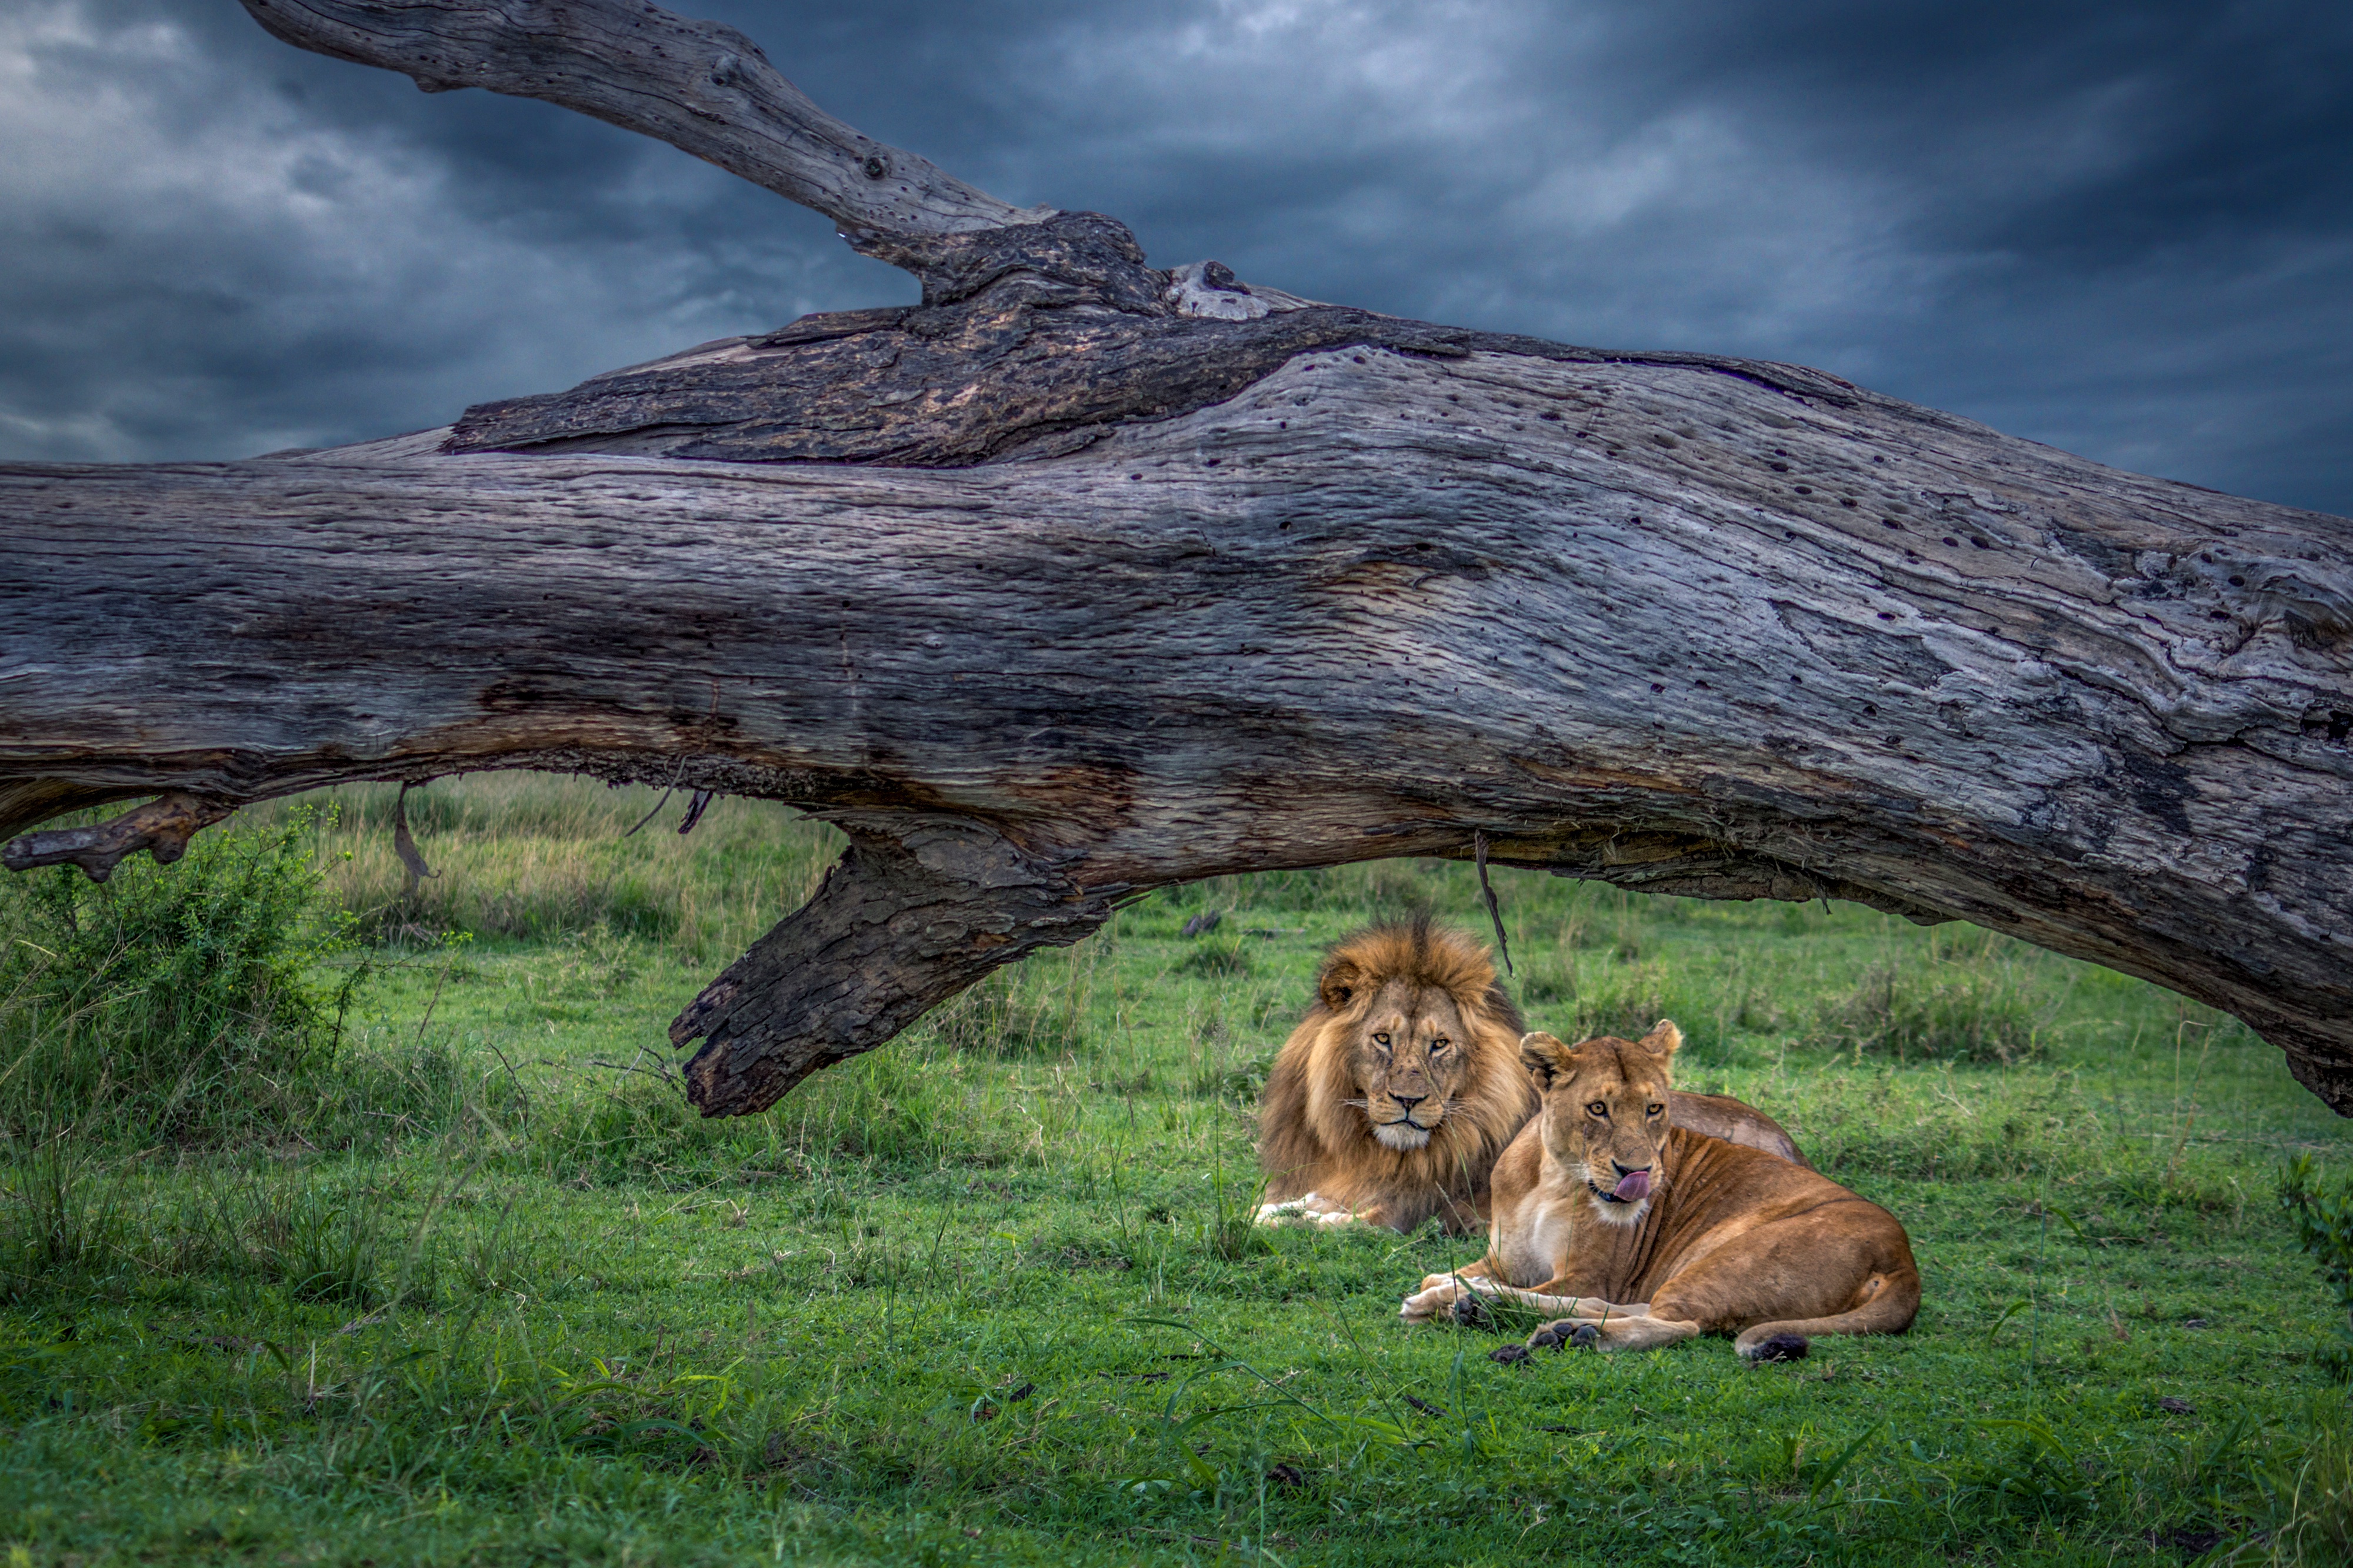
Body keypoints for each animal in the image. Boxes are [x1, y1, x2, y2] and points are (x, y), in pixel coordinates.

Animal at [1261, 918, 1807, 1233]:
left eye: (1440, 1044)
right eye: (1382, 1039)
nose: (1409, 1102)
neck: (1368, 1150)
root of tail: (1794, 1147)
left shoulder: (1402, 1217)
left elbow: (1317, 1226)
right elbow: (1285, 1207)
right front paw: (1273, 1211)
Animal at [1393, 1022, 1911, 1346]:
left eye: (1654, 1109)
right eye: (1597, 1109)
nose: (1637, 1173)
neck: (1551, 1178)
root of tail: (1903, 1259)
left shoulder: (1589, 1272)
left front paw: (1455, 1293)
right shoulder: (1507, 1258)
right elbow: (1447, 1270)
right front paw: (1456, 1286)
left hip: (1731, 1258)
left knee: (1680, 1323)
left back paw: (1543, 1325)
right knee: (1633, 1308)